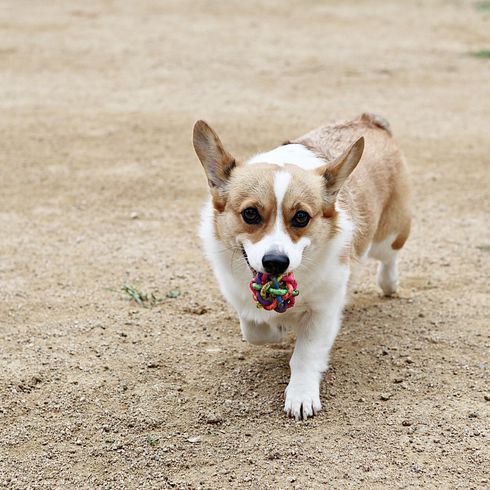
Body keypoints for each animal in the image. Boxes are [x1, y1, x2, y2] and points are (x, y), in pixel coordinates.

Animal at [191, 114, 410, 422]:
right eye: (250, 213)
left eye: (301, 217)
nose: (275, 262)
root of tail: (369, 121)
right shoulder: (241, 299)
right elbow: (255, 330)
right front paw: (277, 328)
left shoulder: (324, 309)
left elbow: (306, 355)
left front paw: (301, 395)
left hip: (388, 236)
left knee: (390, 257)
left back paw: (389, 283)